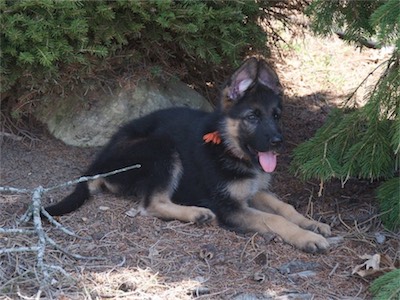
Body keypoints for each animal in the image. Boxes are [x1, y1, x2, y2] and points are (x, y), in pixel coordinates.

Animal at [44, 57, 332, 252]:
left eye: (276, 116)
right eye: (252, 117)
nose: (277, 142)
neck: (228, 147)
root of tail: (99, 163)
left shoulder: (252, 191)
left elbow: (284, 207)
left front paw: (312, 224)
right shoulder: (228, 207)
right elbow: (274, 218)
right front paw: (307, 238)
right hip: (162, 148)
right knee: (151, 205)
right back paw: (195, 213)